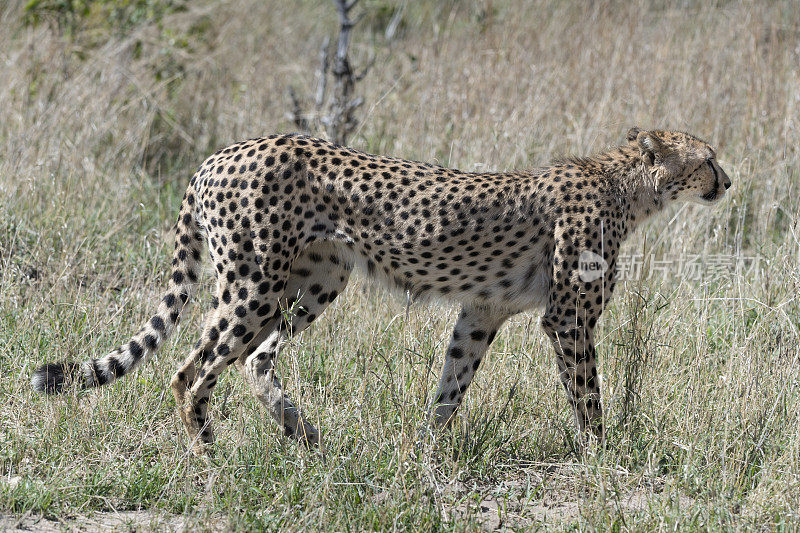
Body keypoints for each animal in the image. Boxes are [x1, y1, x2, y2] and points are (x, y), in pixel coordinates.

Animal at [31, 127, 732, 450]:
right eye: (707, 158)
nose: (728, 180)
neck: (629, 187)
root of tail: (222, 152)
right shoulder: (567, 321)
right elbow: (587, 395)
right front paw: (604, 456)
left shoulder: (482, 311)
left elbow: (452, 384)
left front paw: (427, 450)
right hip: (254, 283)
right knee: (189, 371)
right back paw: (209, 457)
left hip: (315, 280)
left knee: (255, 358)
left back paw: (299, 431)